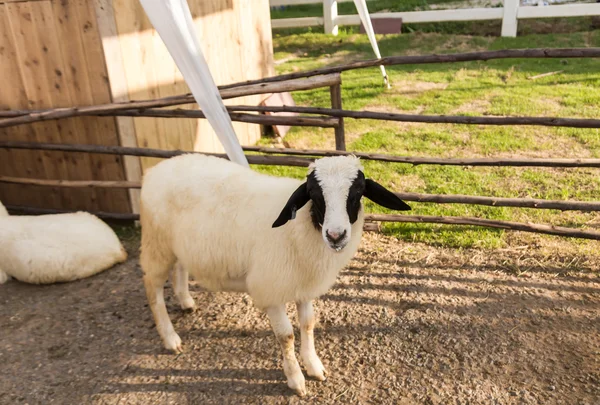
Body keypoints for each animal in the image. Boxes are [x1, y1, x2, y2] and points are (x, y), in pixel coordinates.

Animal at [138, 153, 410, 396]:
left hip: (177, 245)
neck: (300, 226)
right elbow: (286, 336)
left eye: (357, 192)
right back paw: (170, 337)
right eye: (313, 194)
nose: (336, 235)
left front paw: (314, 366)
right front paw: (296, 380)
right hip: (156, 244)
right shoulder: (270, 290)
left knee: (180, 267)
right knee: (152, 288)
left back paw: (185, 301)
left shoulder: (304, 285)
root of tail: (155, 169)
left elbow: (308, 323)